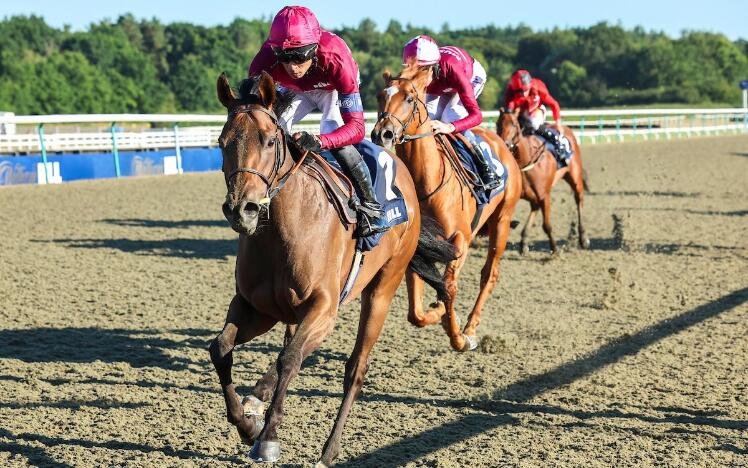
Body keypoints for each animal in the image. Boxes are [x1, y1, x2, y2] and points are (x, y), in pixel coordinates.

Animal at [210, 71, 456, 466]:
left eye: (269, 140)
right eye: (222, 142)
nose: (241, 209)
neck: (281, 230)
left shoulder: (323, 309)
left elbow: (290, 359)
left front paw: (267, 438)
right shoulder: (256, 307)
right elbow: (221, 348)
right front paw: (246, 425)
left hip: (382, 289)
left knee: (355, 369)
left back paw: (328, 450)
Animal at [372, 65, 524, 352]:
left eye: (409, 98)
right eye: (380, 96)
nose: (381, 133)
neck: (427, 181)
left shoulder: (460, 240)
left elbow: (450, 287)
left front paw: (458, 337)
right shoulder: (420, 244)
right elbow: (416, 312)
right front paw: (438, 313)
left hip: (502, 219)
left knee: (489, 275)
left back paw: (471, 327)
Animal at [496, 108, 592, 254]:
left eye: (514, 124)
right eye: (497, 123)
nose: (504, 144)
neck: (527, 160)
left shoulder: (545, 196)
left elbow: (546, 225)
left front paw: (555, 249)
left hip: (574, 177)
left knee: (579, 200)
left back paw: (583, 238)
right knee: (534, 207)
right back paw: (524, 241)